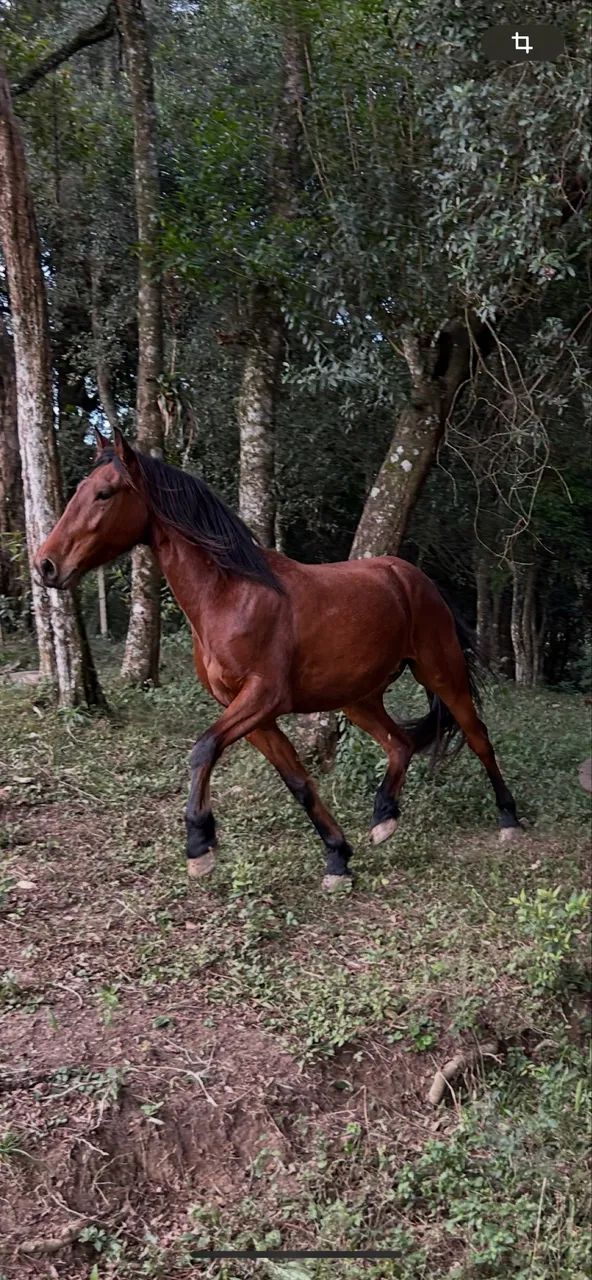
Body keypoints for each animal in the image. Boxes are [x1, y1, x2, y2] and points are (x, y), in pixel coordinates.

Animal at [35, 428, 521, 889]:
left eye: (104, 493)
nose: (45, 565)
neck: (231, 595)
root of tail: (416, 579)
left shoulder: (263, 697)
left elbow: (202, 749)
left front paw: (199, 845)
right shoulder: (254, 714)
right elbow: (298, 782)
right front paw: (337, 858)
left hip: (442, 673)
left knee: (478, 737)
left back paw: (509, 820)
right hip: (358, 698)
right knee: (399, 744)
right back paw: (384, 817)